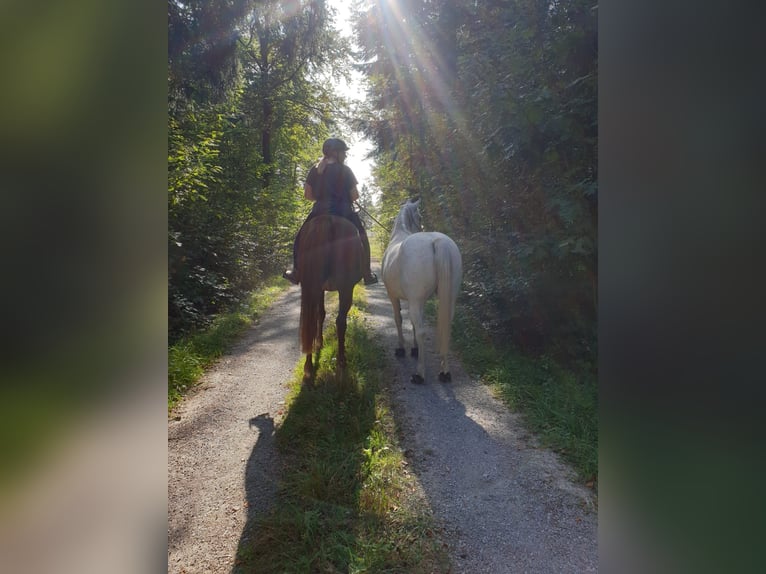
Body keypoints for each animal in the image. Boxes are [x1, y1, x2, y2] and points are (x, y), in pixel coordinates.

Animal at [298, 216, 364, 382]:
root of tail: (327, 220)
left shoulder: (320, 289)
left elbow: (320, 314)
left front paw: (319, 343)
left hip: (311, 286)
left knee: (310, 320)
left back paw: (308, 367)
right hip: (346, 288)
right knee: (341, 322)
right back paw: (341, 361)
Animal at [382, 200, 464, 384]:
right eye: (419, 216)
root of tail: (438, 241)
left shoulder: (394, 297)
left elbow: (399, 320)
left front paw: (402, 348)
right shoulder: (419, 301)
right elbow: (412, 323)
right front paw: (414, 348)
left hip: (414, 301)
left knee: (421, 331)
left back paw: (419, 374)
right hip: (448, 299)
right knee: (446, 327)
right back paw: (444, 372)